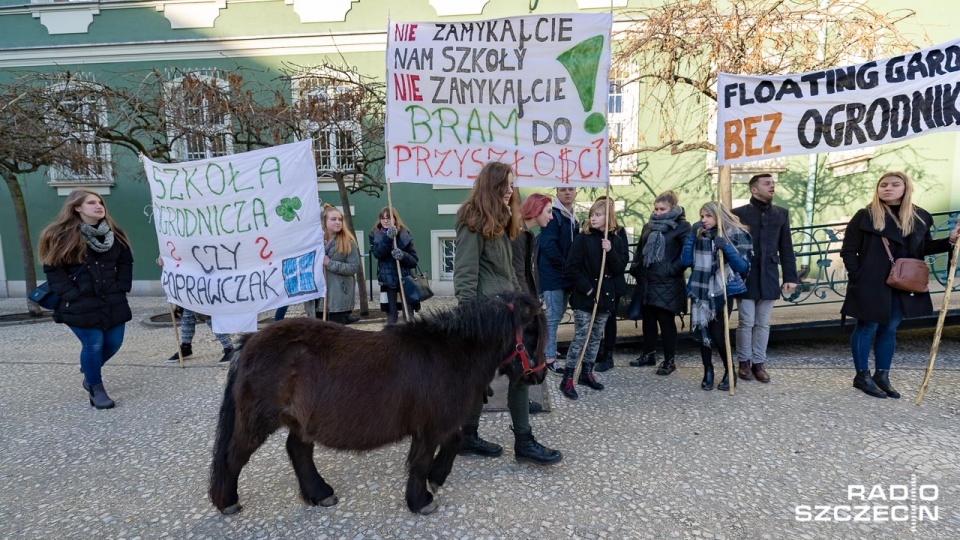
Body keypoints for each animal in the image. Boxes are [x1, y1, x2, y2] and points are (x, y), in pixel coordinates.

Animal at [207, 292, 544, 516]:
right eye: (531, 333)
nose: (538, 376)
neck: (450, 353)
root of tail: (248, 342)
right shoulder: (430, 426)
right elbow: (421, 460)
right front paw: (420, 500)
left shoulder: (441, 423)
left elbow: (455, 442)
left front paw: (436, 479)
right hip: (258, 419)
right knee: (234, 456)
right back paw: (228, 501)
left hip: (300, 420)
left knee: (298, 450)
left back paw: (320, 493)